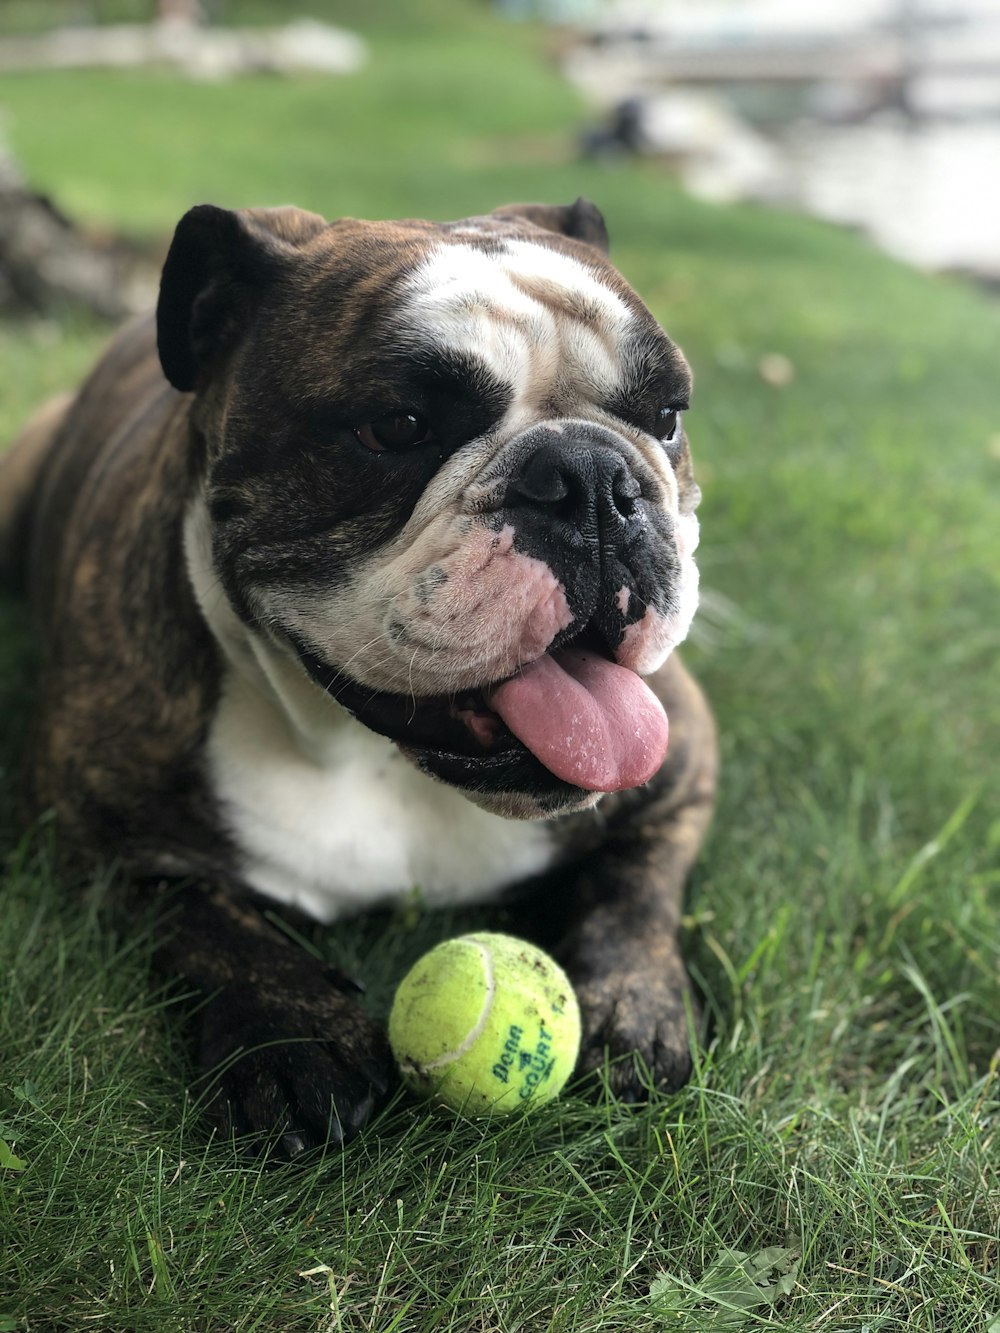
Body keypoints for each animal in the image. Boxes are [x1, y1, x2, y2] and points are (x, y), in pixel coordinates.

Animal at [1, 199, 720, 1157]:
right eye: (397, 428)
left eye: (668, 415)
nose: (592, 476)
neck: (374, 756)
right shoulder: (93, 833)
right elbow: (199, 912)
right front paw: (292, 1032)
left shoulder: (682, 770)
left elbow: (636, 885)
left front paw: (631, 1004)